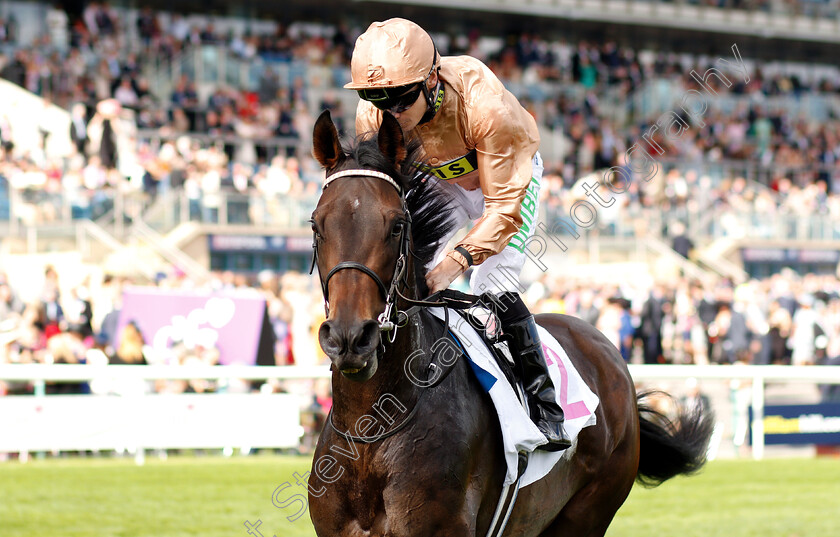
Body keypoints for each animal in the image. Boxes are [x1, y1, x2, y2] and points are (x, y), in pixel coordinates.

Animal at [306, 110, 712, 536]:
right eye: (317, 224)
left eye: (397, 224)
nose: (351, 337)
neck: (372, 427)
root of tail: (607, 351)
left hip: (589, 510)